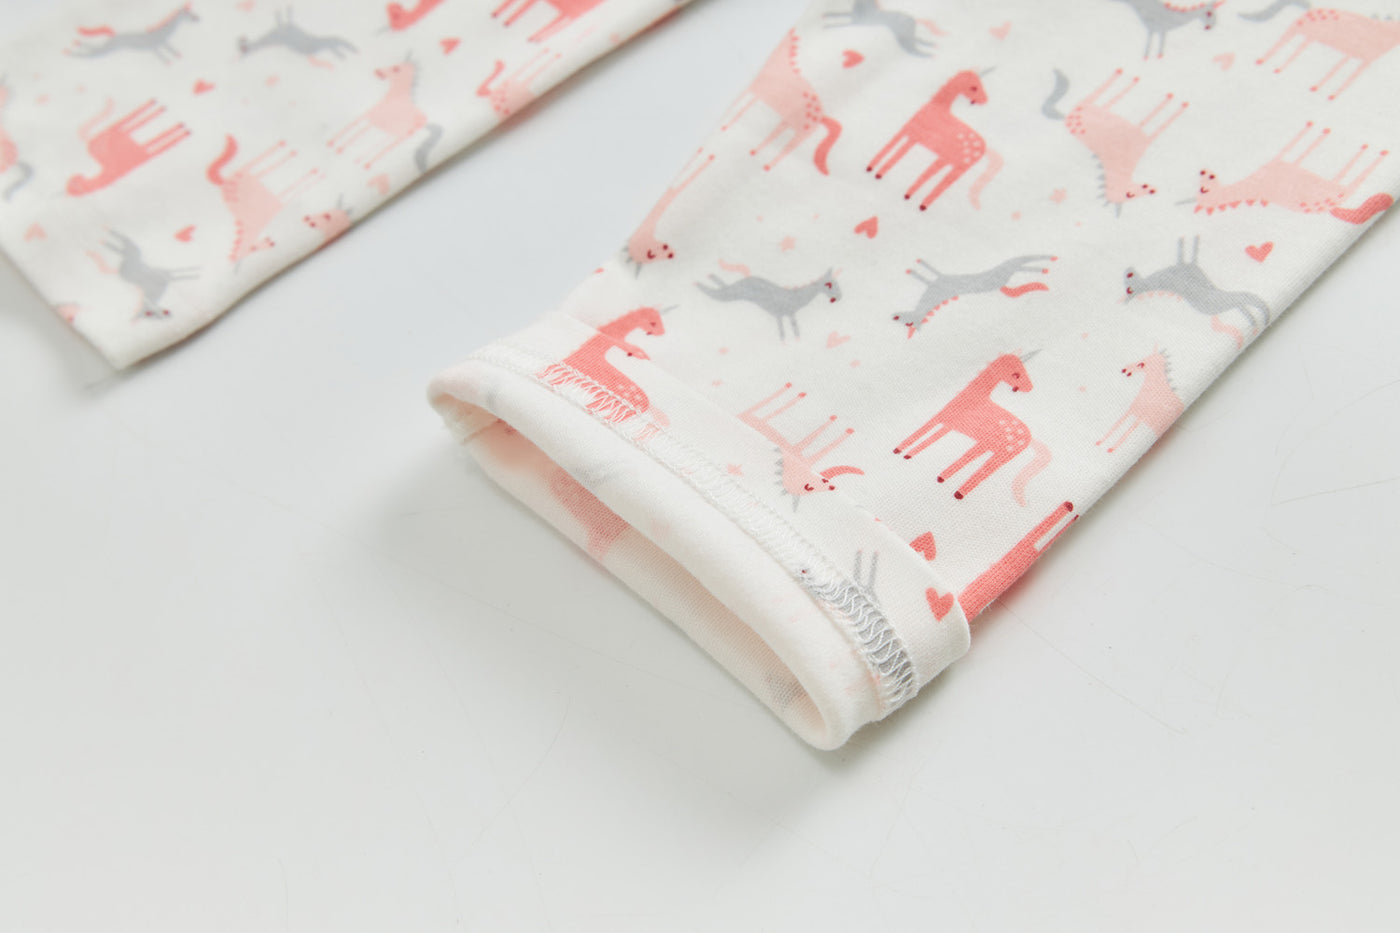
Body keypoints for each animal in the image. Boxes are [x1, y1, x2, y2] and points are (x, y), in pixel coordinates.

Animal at [720, 30, 843, 176]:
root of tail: (821, 117)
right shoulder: (757, 94)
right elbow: (743, 107)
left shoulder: (754, 90)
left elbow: (742, 107)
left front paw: (726, 125)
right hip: (788, 122)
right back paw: (755, 153)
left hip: (800, 134)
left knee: (787, 149)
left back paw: (766, 165)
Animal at [867, 69, 1002, 211]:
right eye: (974, 87)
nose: (985, 101)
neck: (938, 107)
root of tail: (984, 149)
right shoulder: (909, 133)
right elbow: (894, 147)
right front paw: (873, 169)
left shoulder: (913, 136)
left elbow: (897, 152)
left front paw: (878, 172)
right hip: (947, 160)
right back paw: (913, 198)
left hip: (958, 166)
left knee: (943, 182)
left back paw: (920, 203)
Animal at [894, 352, 1051, 505]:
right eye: (1016, 374)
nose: (1029, 388)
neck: (973, 399)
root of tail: (1030, 438)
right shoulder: (946, 424)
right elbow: (928, 437)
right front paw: (906, 454)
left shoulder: (940, 421)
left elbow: (922, 433)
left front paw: (900, 451)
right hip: (987, 445)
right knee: (970, 457)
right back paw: (943, 478)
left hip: (1002, 454)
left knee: (984, 470)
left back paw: (959, 492)